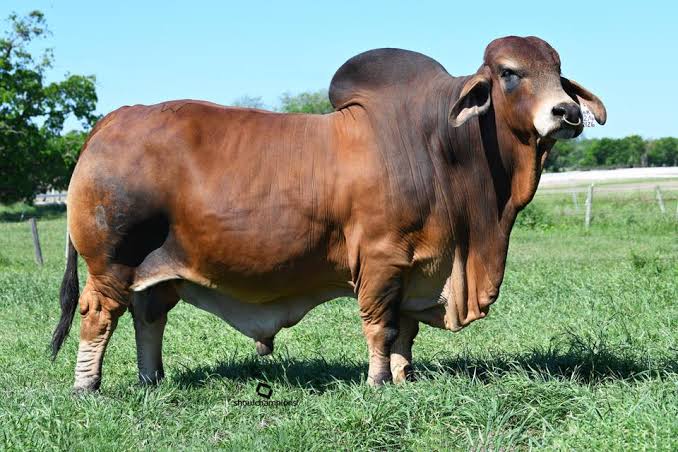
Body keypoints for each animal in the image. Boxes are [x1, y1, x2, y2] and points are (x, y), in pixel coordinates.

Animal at [50, 35, 608, 390]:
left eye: (558, 75)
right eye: (510, 73)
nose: (567, 113)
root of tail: (114, 119)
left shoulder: (419, 266)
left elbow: (405, 331)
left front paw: (405, 379)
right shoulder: (382, 259)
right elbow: (380, 325)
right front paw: (379, 382)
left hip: (157, 272)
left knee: (149, 318)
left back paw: (151, 380)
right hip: (112, 263)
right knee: (99, 317)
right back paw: (88, 386)